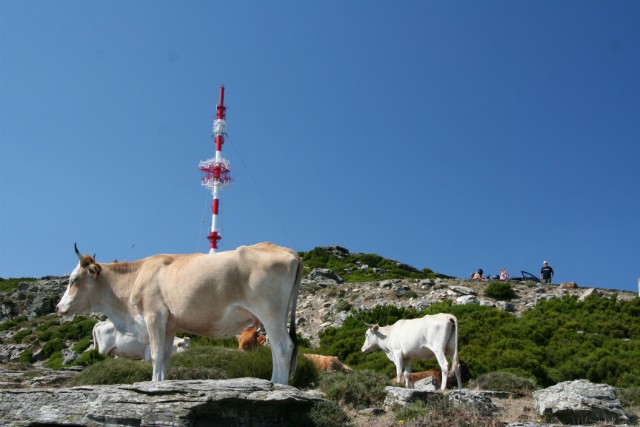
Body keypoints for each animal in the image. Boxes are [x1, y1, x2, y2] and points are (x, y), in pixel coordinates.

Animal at [57, 242, 302, 386]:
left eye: (73, 279)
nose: (59, 307)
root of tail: (287, 250)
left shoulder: (153, 316)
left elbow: (155, 354)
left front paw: (154, 385)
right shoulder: (169, 324)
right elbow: (165, 356)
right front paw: (161, 384)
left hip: (270, 312)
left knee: (283, 347)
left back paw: (279, 386)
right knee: (276, 348)